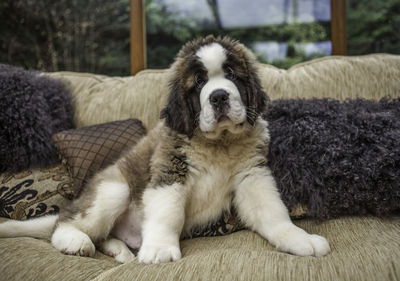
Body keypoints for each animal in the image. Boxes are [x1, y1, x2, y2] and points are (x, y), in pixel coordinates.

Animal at [0, 35, 332, 262]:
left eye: (232, 75)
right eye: (198, 82)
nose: (219, 97)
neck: (218, 144)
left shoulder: (253, 177)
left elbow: (274, 214)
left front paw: (300, 239)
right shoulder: (169, 171)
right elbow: (167, 213)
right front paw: (160, 249)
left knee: (102, 235)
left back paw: (119, 251)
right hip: (114, 189)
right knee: (65, 221)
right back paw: (75, 241)